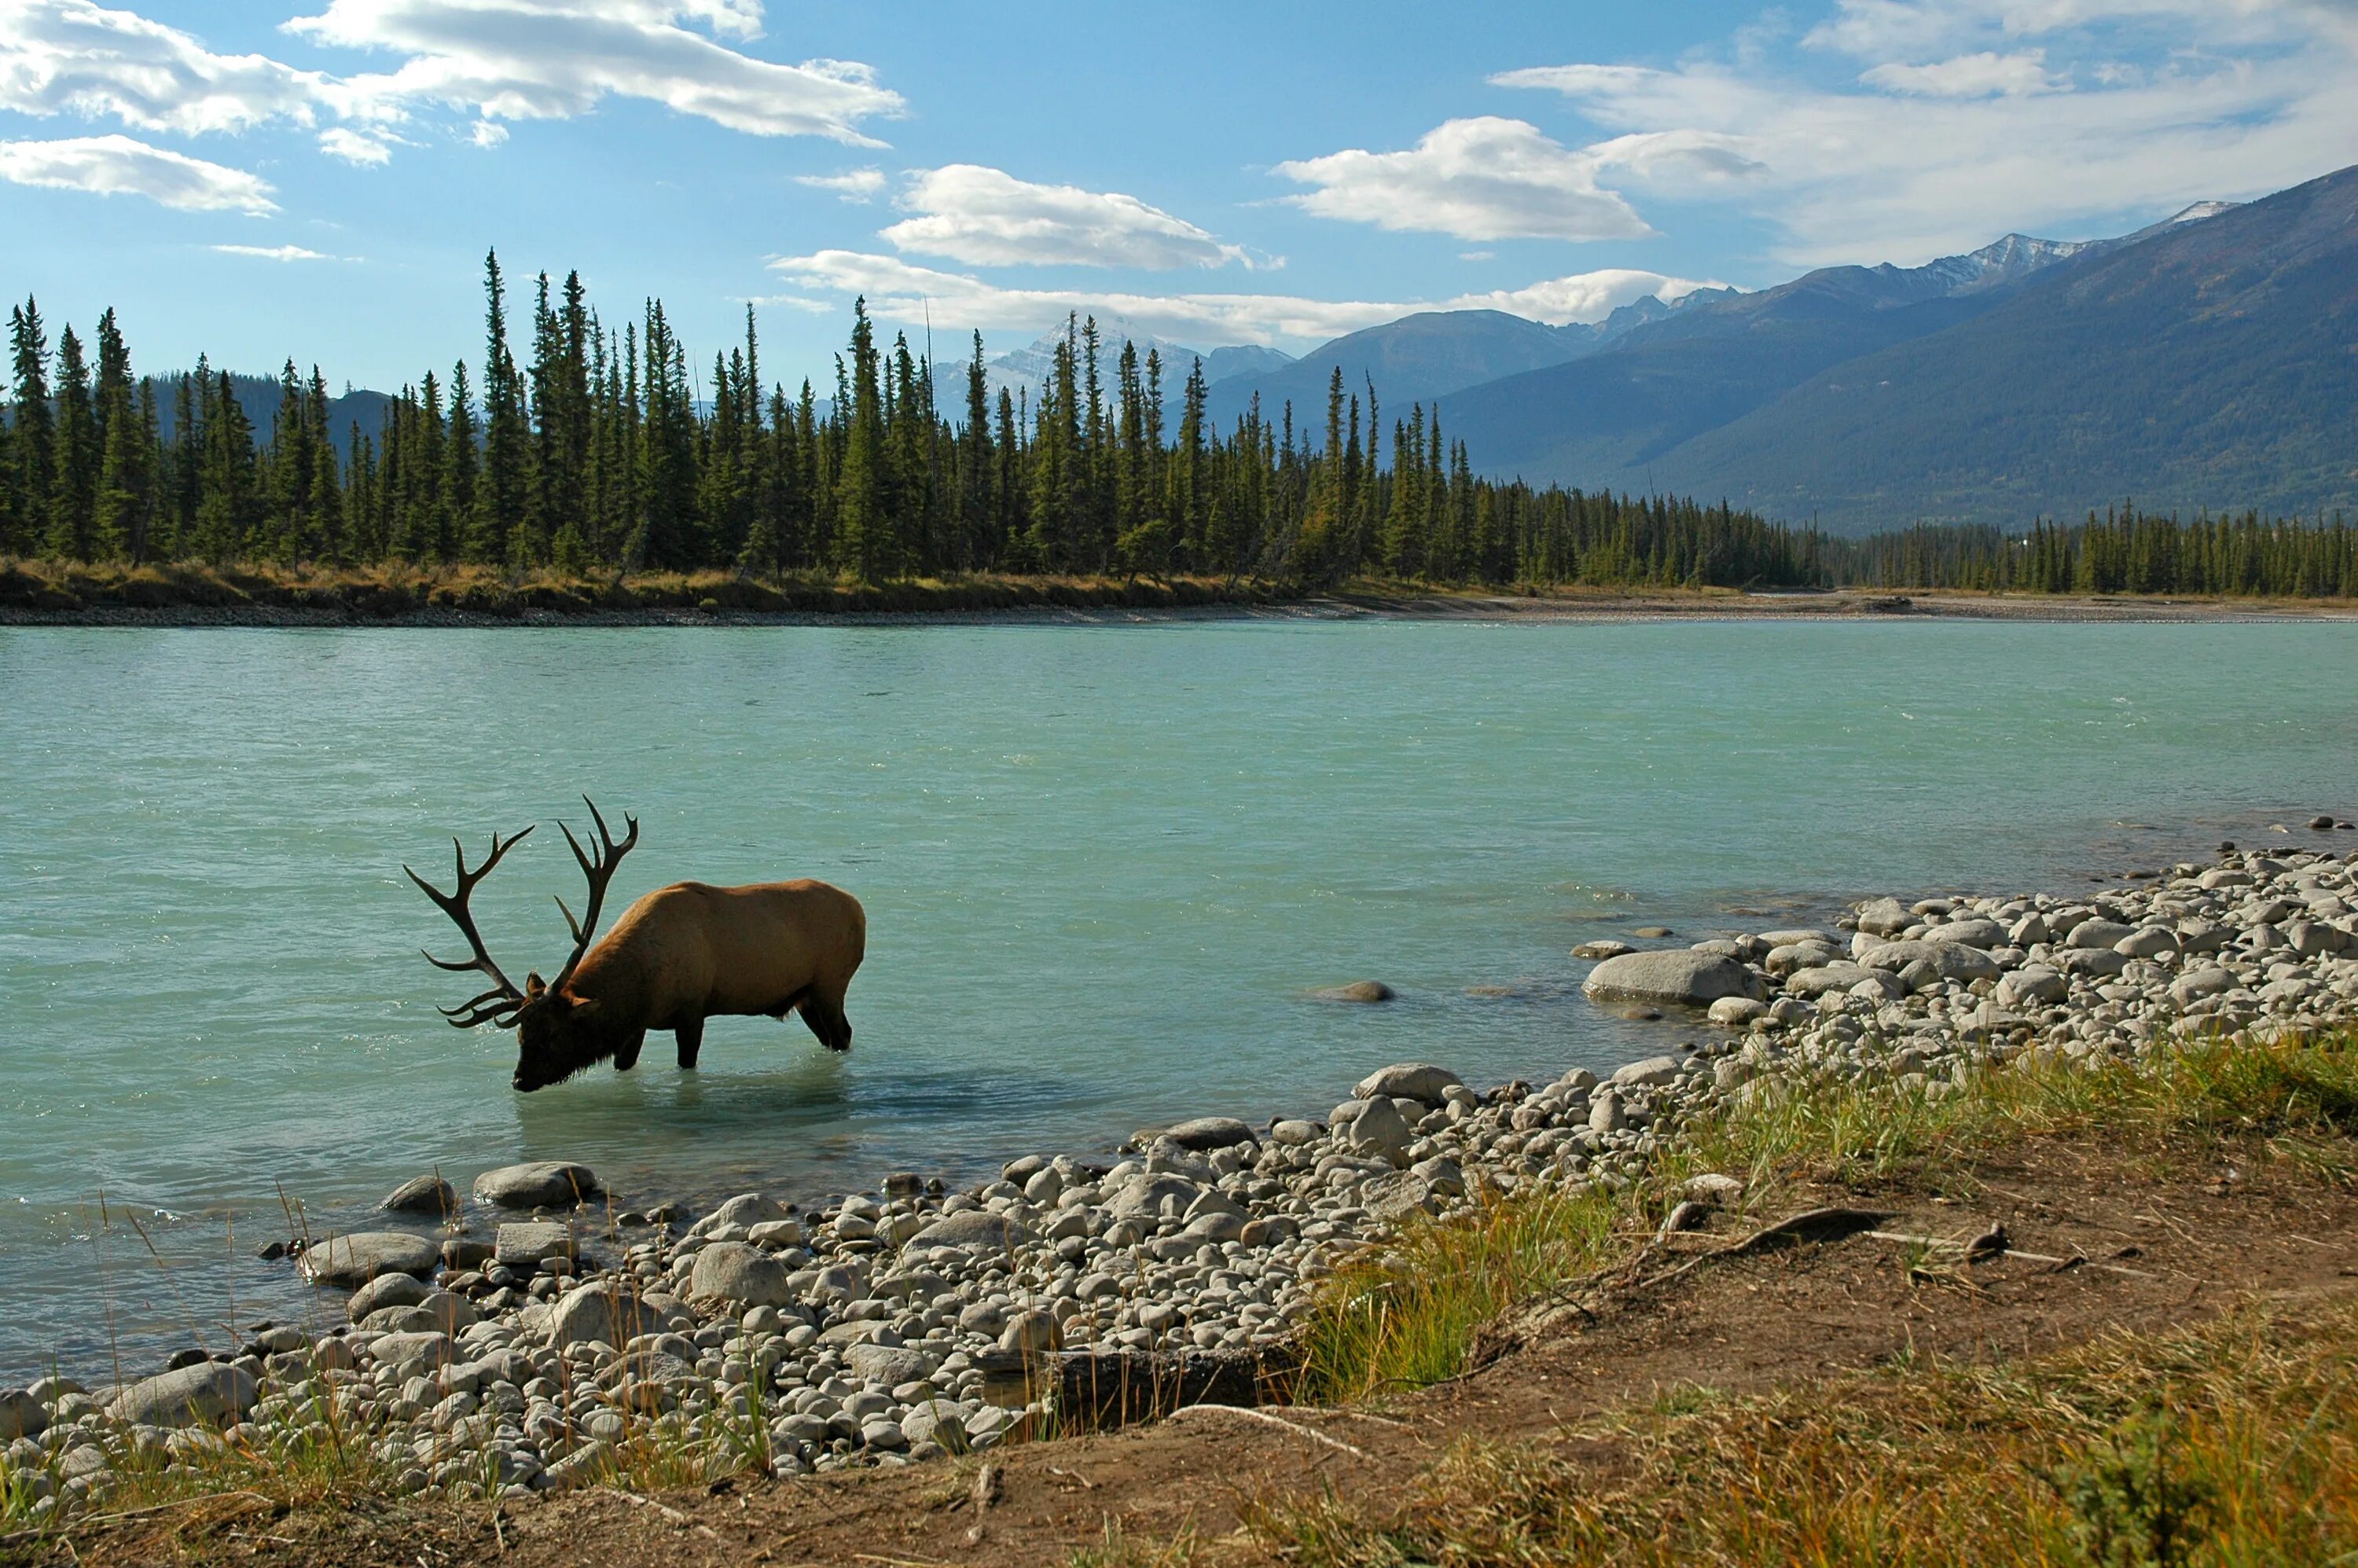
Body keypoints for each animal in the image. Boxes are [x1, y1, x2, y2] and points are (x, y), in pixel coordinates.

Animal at [406, 797, 868, 1089]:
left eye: (553, 1032)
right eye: (520, 1033)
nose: (520, 1080)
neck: (642, 986)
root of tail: (859, 909)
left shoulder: (692, 1009)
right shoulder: (638, 1026)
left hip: (832, 983)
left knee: (843, 1033)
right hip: (804, 996)